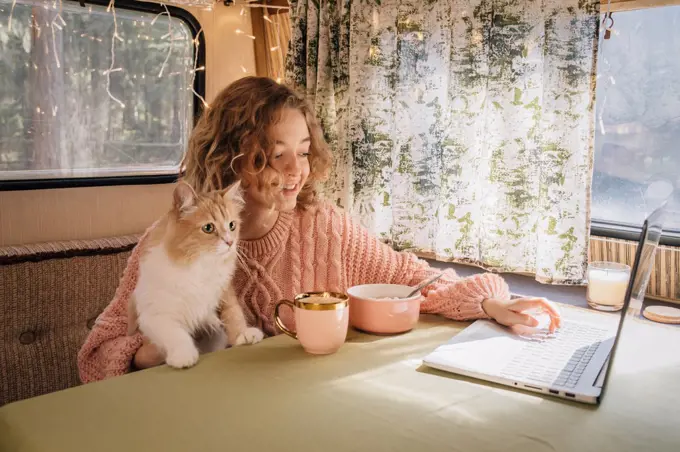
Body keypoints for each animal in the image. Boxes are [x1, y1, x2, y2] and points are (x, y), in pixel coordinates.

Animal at [127, 179, 262, 368]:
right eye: (208, 228)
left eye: (232, 225)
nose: (230, 242)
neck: (199, 266)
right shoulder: (156, 315)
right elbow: (176, 334)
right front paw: (184, 355)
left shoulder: (224, 294)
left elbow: (234, 314)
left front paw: (243, 334)